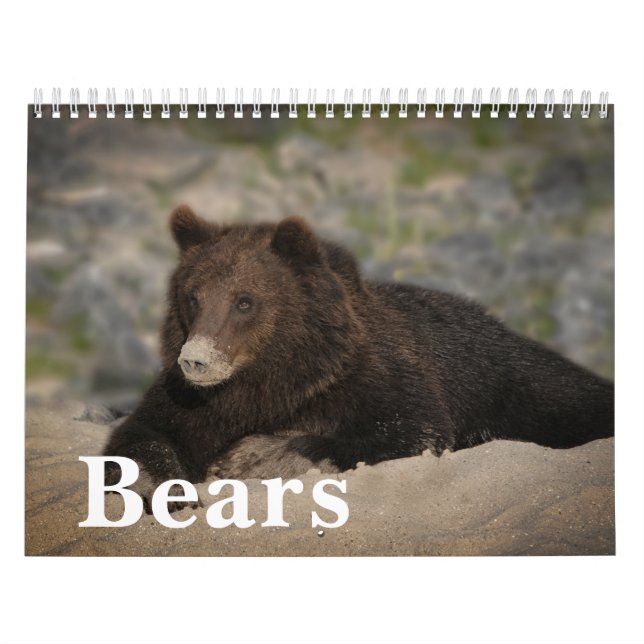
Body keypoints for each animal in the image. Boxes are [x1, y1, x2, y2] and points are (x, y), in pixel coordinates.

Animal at [103, 205, 614, 510]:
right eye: (193, 296)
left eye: (244, 301)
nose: (196, 361)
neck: (270, 376)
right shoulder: (191, 404)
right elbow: (141, 437)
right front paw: (173, 491)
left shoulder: (371, 378)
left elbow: (407, 430)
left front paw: (245, 459)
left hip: (515, 381)